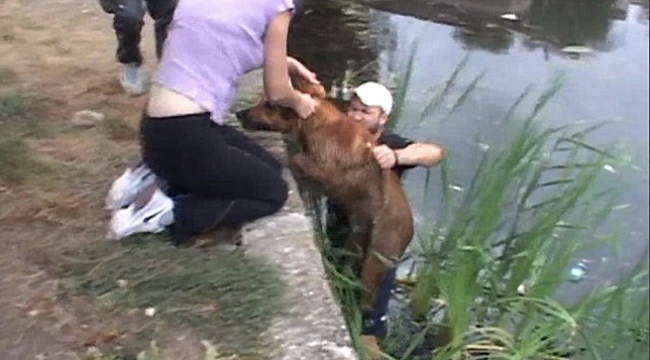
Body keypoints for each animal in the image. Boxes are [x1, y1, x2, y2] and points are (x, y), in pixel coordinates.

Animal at [235, 75, 412, 316]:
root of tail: (410, 228)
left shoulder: (325, 170)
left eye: (269, 105)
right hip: (356, 242)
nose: (238, 114)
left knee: (366, 296)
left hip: (375, 262)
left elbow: (296, 159)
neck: (315, 123)